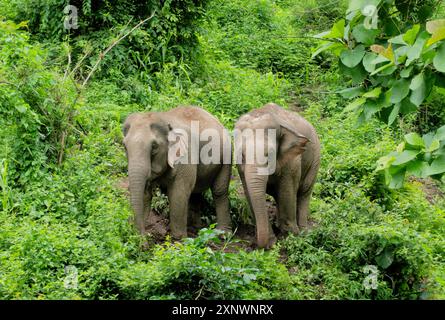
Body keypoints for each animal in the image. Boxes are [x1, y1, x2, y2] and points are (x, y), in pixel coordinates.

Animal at [122, 106, 232, 239]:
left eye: (154, 146)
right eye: (124, 146)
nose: (143, 238)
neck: (164, 118)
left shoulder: (186, 157)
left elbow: (178, 193)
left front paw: (179, 240)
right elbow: (145, 194)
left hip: (226, 156)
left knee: (219, 191)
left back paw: (223, 234)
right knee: (196, 193)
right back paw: (195, 229)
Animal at [232, 104, 320, 249]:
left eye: (269, 155)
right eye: (242, 156)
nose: (253, 245)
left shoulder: (292, 161)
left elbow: (287, 192)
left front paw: (289, 238)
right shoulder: (241, 169)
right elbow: (249, 193)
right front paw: (271, 243)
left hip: (315, 160)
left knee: (304, 192)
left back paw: (303, 231)